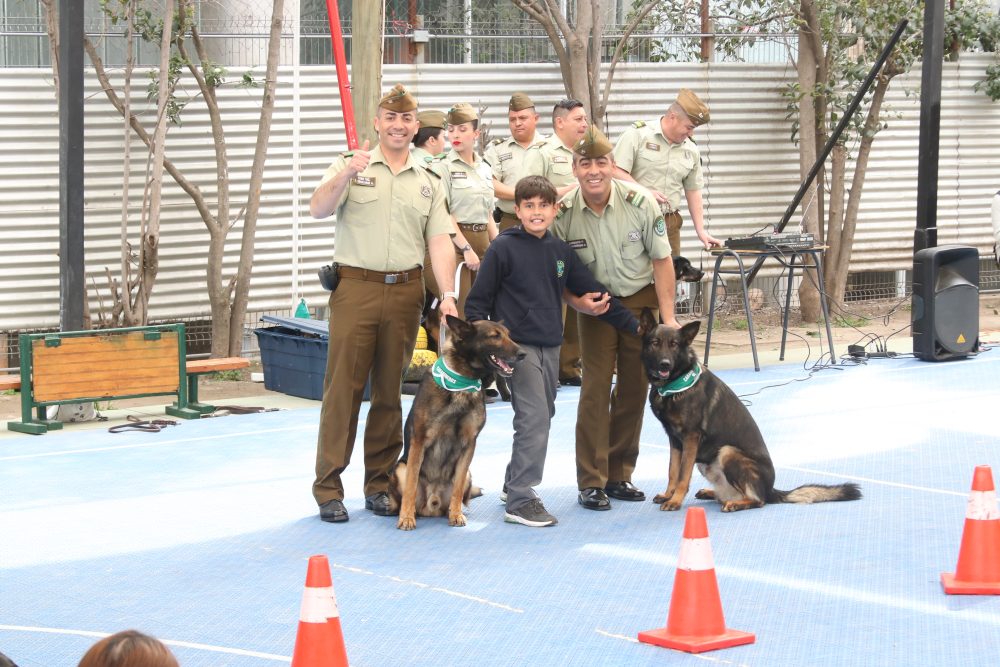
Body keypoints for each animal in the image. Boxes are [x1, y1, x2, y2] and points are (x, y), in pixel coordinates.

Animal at [386, 316, 524, 528]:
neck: (460, 383)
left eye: (508, 335)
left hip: (468, 474)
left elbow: (457, 489)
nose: (523, 353)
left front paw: (456, 514)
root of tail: (431, 504)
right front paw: (407, 517)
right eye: (494, 336)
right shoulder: (419, 442)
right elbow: (411, 486)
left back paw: (451, 511)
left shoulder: (469, 445)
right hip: (400, 468)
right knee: (405, 493)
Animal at [640, 310, 860, 516]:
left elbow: (683, 476)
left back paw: (735, 503)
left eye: (674, 344)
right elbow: (673, 471)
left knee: (758, 500)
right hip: (706, 461)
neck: (675, 384)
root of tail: (771, 490)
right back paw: (713, 493)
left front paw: (675, 500)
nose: (665, 364)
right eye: (655, 343)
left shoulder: (690, 438)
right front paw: (668, 495)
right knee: (732, 494)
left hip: (727, 452)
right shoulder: (675, 440)